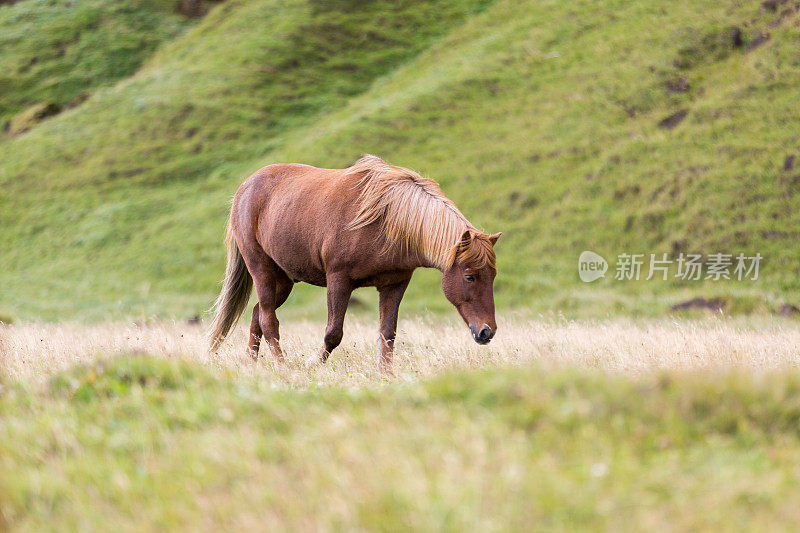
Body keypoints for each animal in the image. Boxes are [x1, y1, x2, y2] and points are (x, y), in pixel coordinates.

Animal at [211, 153, 500, 370]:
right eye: (469, 276)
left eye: (492, 276)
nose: (487, 332)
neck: (387, 220)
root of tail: (245, 188)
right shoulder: (339, 280)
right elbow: (333, 333)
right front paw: (312, 364)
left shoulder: (395, 285)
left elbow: (387, 333)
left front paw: (386, 375)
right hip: (262, 270)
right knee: (269, 321)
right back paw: (283, 368)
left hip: (283, 280)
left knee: (258, 315)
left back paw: (250, 365)